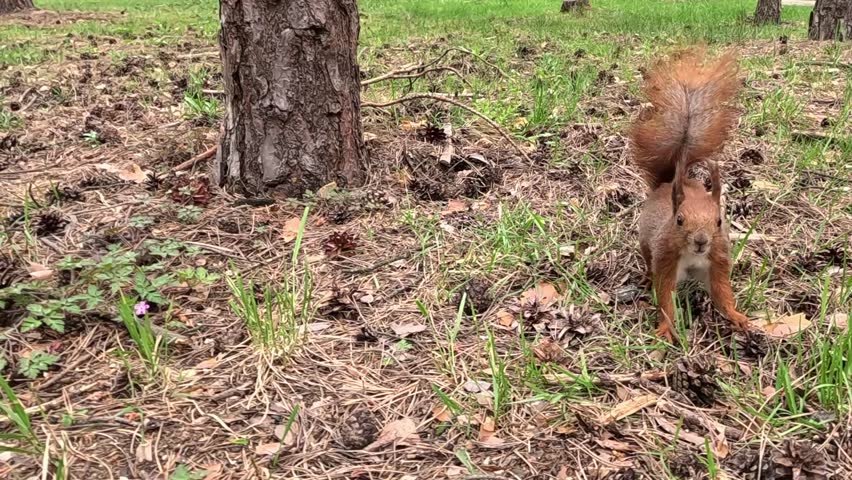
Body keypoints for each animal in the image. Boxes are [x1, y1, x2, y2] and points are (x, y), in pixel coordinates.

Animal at [629, 48, 750, 342]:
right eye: (679, 220)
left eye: (719, 221)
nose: (701, 241)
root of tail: (670, 182)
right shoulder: (666, 259)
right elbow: (665, 296)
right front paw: (666, 328)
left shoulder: (717, 259)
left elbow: (722, 292)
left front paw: (736, 316)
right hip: (646, 244)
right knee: (648, 262)